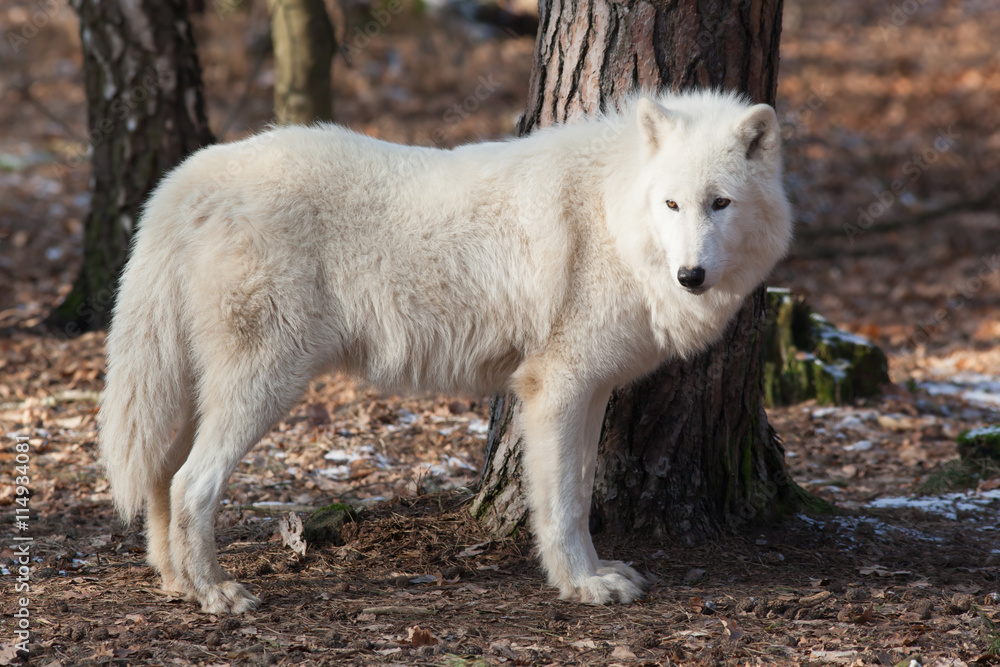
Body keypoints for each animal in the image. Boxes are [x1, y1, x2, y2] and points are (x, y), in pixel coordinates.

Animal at [99, 89, 792, 614]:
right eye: (671, 204)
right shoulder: (557, 386)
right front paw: (582, 584)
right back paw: (217, 594)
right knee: (191, 482)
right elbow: (566, 503)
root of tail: (187, 178)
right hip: (266, 385)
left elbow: (574, 490)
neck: (612, 211)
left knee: (161, 476)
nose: (690, 276)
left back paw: (176, 583)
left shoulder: (589, 389)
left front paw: (591, 573)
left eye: (720, 203)